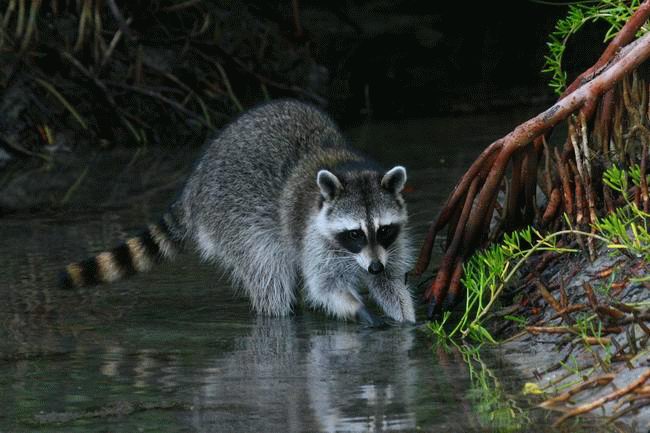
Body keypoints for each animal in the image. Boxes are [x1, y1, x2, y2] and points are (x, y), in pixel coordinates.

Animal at [60, 99, 416, 322]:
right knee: (268, 276)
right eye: (354, 233)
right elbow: (324, 285)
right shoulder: (314, 235)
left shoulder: (389, 246)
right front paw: (355, 308)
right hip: (235, 219)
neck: (349, 168)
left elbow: (391, 283)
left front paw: (405, 317)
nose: (373, 268)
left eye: (383, 229)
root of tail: (196, 181)